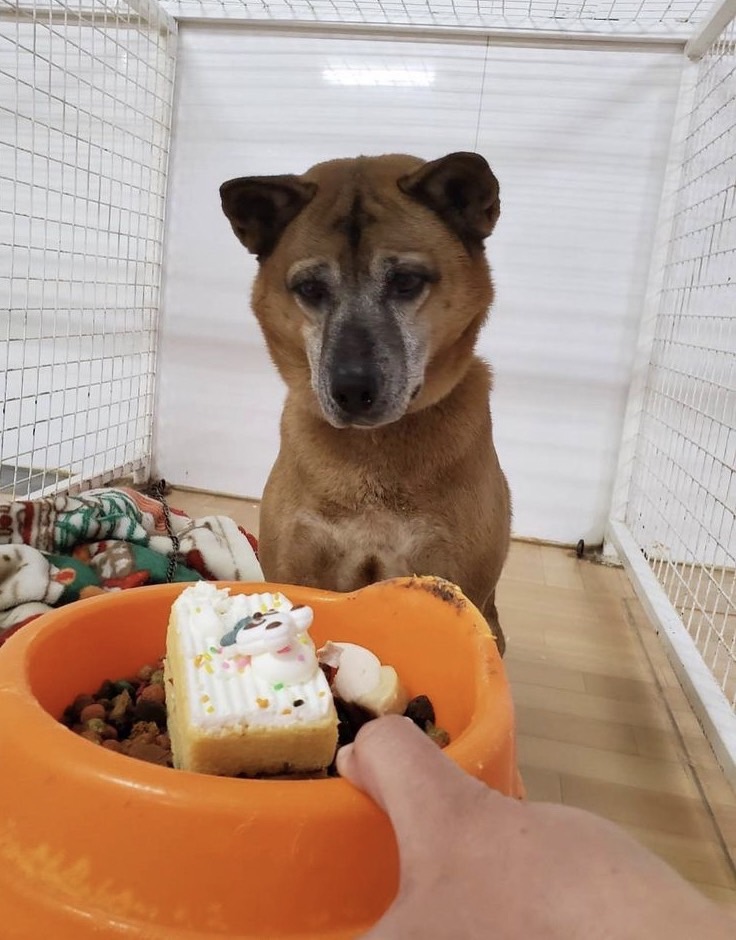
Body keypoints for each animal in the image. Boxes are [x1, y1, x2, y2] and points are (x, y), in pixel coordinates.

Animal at [220, 152, 511, 654]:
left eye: (406, 281)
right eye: (311, 289)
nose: (352, 389)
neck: (370, 457)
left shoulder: (449, 574)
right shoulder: (297, 563)